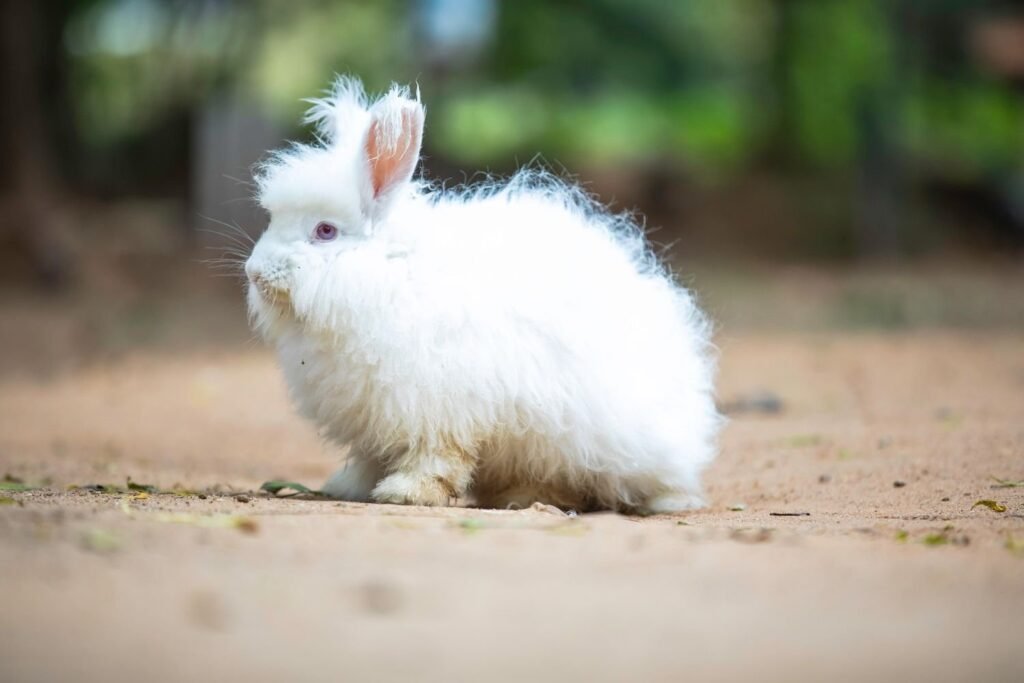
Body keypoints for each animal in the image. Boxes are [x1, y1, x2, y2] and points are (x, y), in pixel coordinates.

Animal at [245, 76, 722, 514]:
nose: (253, 272)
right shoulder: (373, 419)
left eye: (325, 231)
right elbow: (370, 458)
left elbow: (437, 458)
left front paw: (406, 493)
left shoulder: (437, 408)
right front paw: (349, 486)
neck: (386, 273)